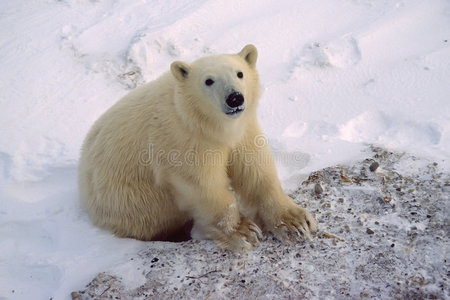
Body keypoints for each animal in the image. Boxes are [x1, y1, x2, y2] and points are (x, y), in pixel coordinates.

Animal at [78, 44, 316, 251]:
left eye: (239, 73)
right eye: (208, 81)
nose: (234, 98)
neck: (204, 122)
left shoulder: (243, 130)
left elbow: (254, 170)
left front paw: (295, 223)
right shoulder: (183, 141)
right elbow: (203, 185)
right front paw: (243, 231)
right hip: (130, 201)